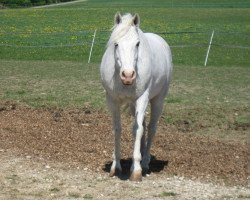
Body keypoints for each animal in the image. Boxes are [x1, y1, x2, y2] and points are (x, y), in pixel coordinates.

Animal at [99, 12, 172, 181]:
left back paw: (145, 163)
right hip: (133, 105)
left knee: (151, 128)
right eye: (116, 44)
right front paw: (116, 166)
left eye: (138, 44)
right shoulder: (112, 100)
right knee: (144, 125)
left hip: (158, 100)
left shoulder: (142, 98)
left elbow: (137, 130)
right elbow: (117, 129)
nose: (128, 75)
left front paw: (136, 169)